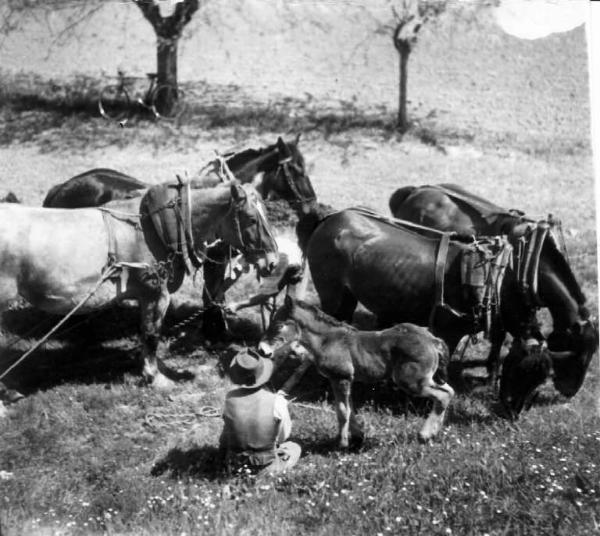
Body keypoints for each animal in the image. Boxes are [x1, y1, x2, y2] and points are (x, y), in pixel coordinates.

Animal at [258, 298, 454, 448]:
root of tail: (432, 340)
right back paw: (434, 433)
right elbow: (349, 408)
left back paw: (424, 435)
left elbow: (342, 410)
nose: (262, 350)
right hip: (428, 378)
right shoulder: (342, 380)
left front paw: (342, 443)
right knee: (449, 392)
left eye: (279, 325)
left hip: (410, 381)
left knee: (442, 396)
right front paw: (358, 437)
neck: (328, 340)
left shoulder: (341, 378)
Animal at [390, 182, 596, 412]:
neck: (530, 258)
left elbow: (501, 337)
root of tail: (416, 190)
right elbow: (499, 335)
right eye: (576, 352)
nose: (569, 393)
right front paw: (491, 376)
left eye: (592, 354)